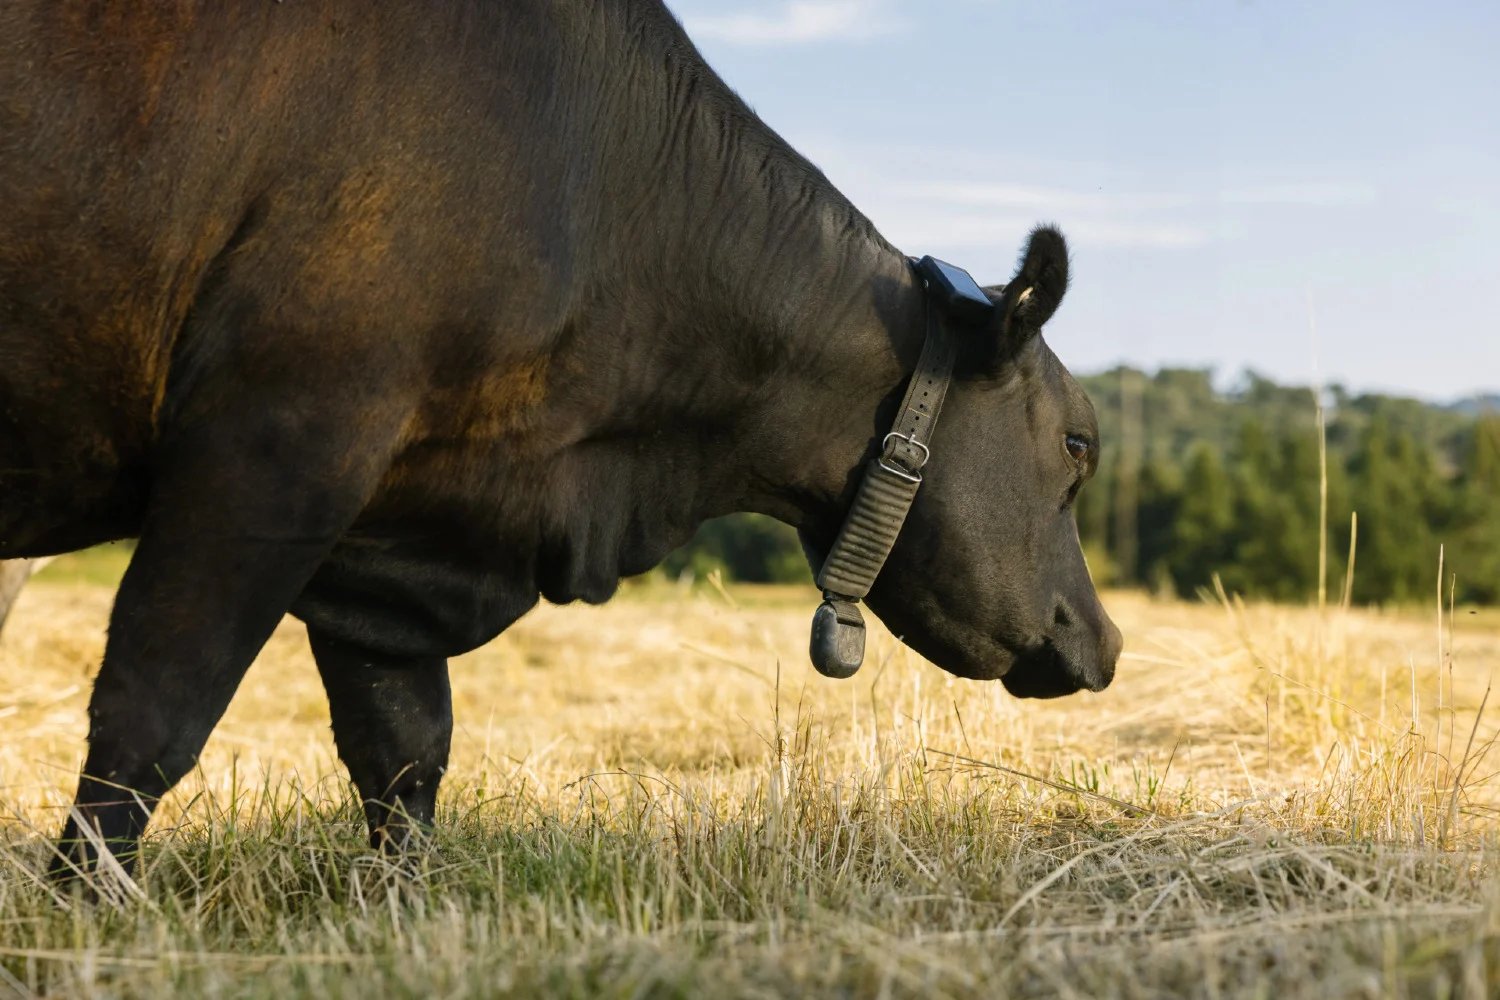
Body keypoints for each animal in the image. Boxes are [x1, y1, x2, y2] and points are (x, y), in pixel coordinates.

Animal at [0, 0, 1122, 881]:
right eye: (1078, 445)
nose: (1102, 639)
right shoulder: (278, 444)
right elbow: (152, 716)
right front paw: (84, 915)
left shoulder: (389, 526)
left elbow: (403, 749)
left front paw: (404, 910)